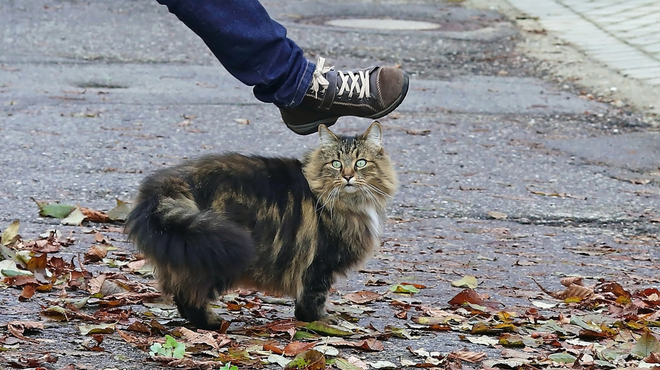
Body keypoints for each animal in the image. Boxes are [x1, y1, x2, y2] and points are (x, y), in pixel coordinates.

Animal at [127, 121, 400, 330]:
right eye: (335, 163)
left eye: (361, 162)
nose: (348, 176)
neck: (349, 203)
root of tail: (172, 182)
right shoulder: (320, 263)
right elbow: (313, 297)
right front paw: (320, 321)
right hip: (221, 254)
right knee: (188, 296)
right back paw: (213, 323)